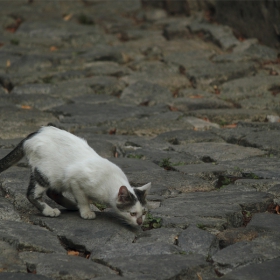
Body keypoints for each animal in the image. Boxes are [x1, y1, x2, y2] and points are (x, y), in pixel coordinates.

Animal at [0, 126, 151, 226]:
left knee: (52, 192)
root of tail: (31, 135)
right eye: (132, 213)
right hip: (44, 174)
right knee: (32, 194)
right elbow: (83, 199)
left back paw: (71, 205)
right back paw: (49, 211)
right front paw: (86, 212)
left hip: (57, 178)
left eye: (144, 213)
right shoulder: (75, 180)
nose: (140, 222)